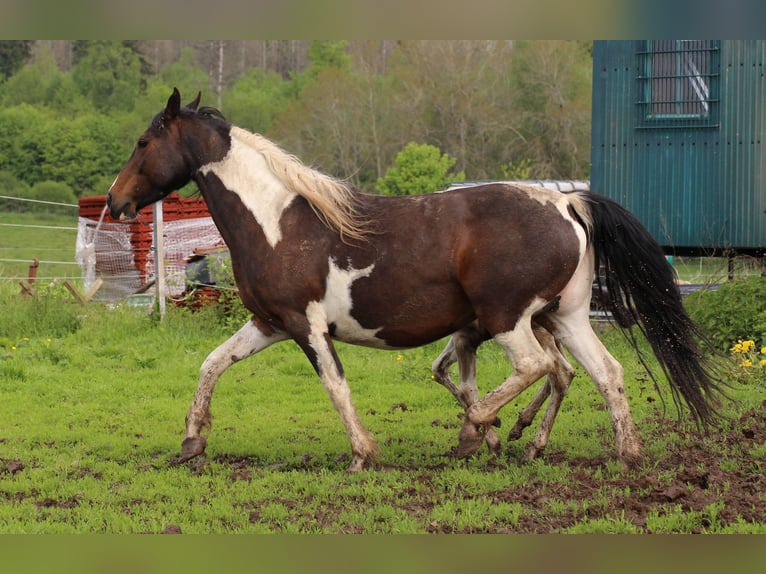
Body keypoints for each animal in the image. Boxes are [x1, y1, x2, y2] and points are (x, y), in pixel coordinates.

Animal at [107, 89, 727, 472]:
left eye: (143, 142)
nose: (115, 202)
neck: (277, 220)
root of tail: (566, 201)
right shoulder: (268, 323)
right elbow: (212, 364)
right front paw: (191, 441)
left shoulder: (306, 328)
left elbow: (336, 387)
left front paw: (363, 453)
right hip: (567, 317)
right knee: (606, 374)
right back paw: (625, 455)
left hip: (510, 319)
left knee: (537, 368)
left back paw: (481, 430)